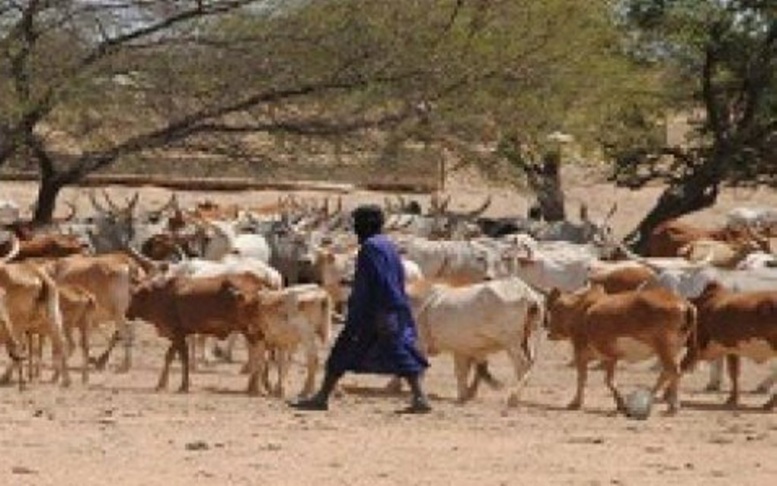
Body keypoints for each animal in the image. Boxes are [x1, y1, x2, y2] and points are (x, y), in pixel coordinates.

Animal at [544, 284, 696, 414]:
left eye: (553, 309)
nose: (549, 332)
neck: (582, 310)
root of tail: (684, 304)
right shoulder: (606, 356)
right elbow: (607, 380)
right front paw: (621, 404)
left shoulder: (583, 352)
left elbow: (587, 379)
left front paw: (576, 403)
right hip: (672, 349)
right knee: (666, 373)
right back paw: (652, 398)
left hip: (664, 348)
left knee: (674, 371)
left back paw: (673, 406)